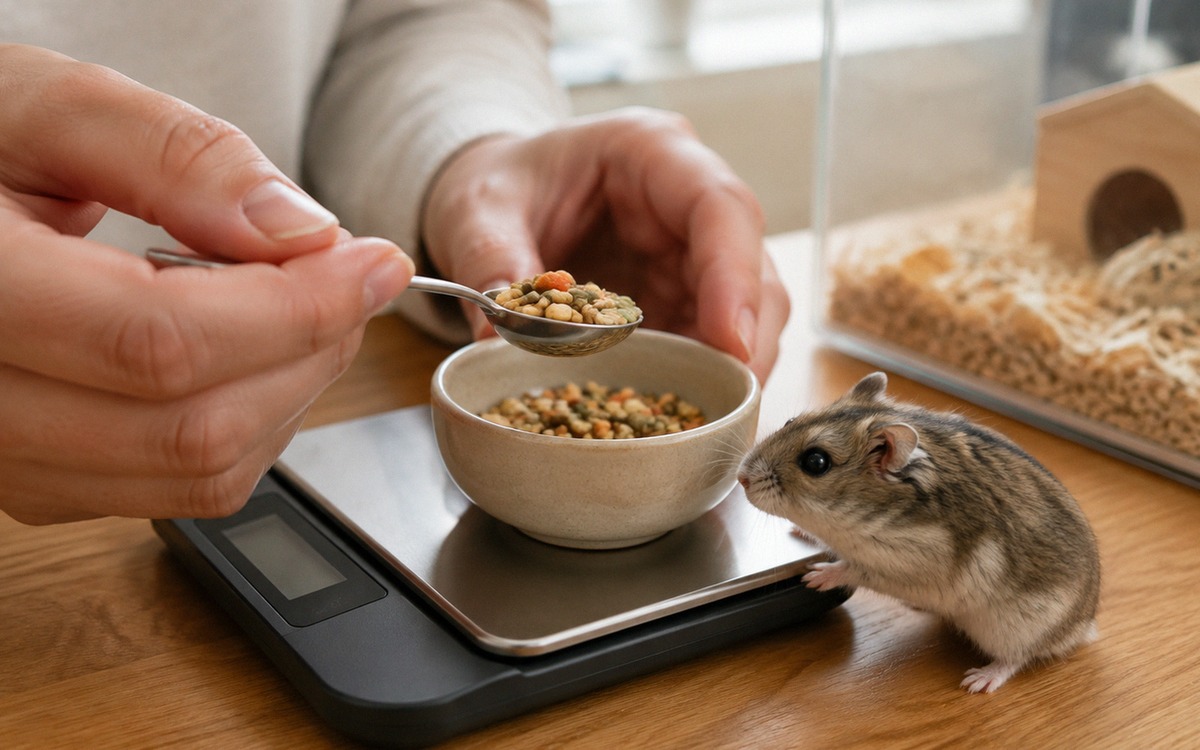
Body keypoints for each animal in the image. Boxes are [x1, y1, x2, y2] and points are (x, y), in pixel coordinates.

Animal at [736, 372, 1100, 693]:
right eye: (789, 421)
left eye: (815, 462)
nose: (741, 478)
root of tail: (1083, 626)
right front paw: (799, 531)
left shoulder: (911, 564)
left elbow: (854, 569)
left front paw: (815, 576)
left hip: (1014, 629)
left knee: (1018, 657)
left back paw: (979, 681)